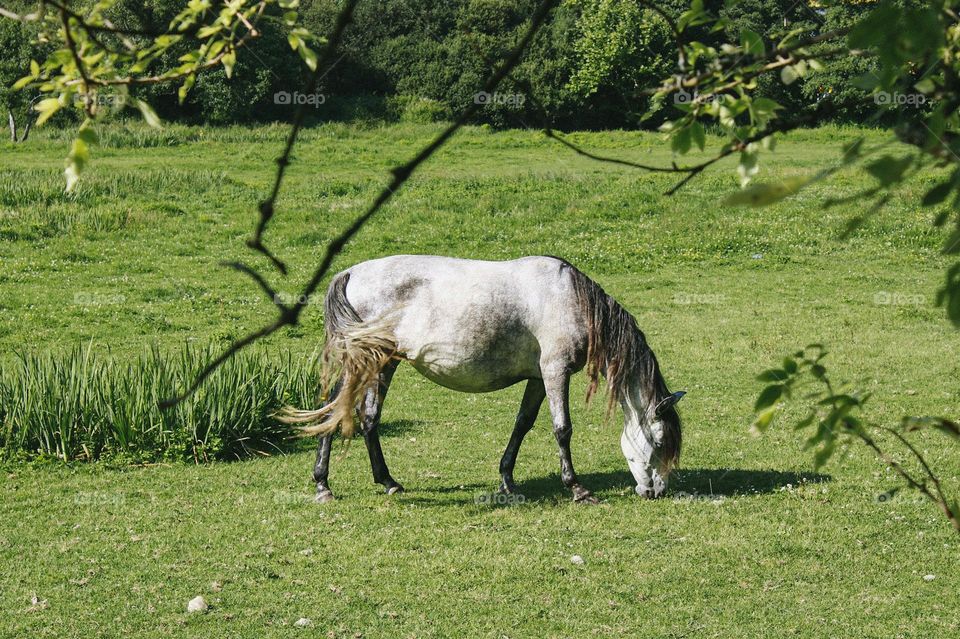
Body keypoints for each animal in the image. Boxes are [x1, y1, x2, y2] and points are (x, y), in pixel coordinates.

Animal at [282, 255, 688, 504]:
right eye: (660, 440)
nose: (656, 490)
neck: (570, 299)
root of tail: (351, 273)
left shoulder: (538, 378)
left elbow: (523, 424)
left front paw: (507, 480)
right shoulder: (555, 371)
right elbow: (562, 429)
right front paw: (577, 488)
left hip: (384, 363)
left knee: (367, 418)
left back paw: (389, 482)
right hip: (363, 362)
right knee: (332, 410)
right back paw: (323, 485)